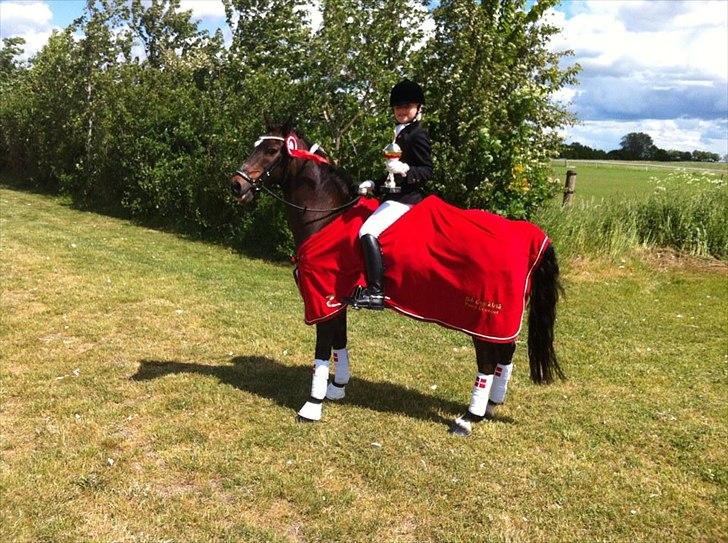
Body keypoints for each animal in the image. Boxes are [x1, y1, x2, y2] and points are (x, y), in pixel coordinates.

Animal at [230, 122, 564, 436]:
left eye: (271, 151)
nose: (236, 185)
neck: (328, 214)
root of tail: (528, 236)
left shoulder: (321, 297)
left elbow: (323, 350)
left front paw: (312, 406)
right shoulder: (336, 300)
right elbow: (340, 342)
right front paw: (337, 389)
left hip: (483, 318)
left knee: (486, 362)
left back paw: (469, 419)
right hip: (502, 323)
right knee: (505, 356)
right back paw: (492, 406)